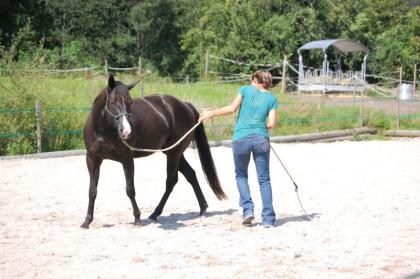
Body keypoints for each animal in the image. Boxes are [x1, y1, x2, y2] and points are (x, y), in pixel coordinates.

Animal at [81, 75, 226, 229]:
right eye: (113, 101)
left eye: (130, 101)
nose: (126, 131)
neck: (103, 130)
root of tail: (185, 105)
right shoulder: (92, 160)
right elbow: (92, 191)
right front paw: (87, 221)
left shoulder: (127, 160)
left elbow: (130, 189)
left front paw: (137, 218)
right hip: (173, 153)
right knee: (190, 174)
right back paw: (202, 207)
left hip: (174, 153)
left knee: (171, 181)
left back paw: (155, 213)